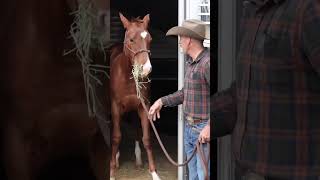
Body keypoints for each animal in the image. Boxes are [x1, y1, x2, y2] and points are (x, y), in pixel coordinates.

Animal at [109, 13, 160, 180]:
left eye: (150, 39)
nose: (146, 69)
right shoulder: (115, 106)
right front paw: (112, 172)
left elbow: (146, 138)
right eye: (131, 39)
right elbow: (116, 137)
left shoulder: (144, 106)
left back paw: (137, 160)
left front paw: (154, 173)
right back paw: (117, 158)